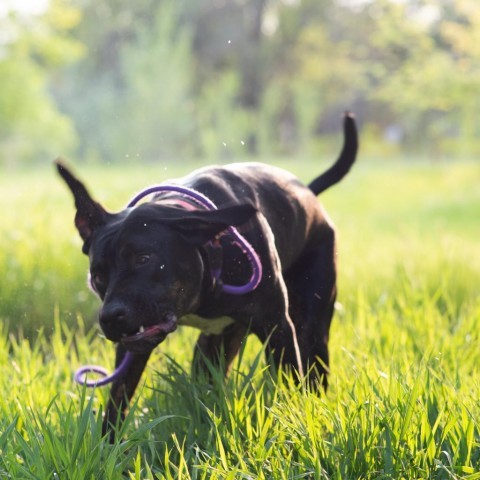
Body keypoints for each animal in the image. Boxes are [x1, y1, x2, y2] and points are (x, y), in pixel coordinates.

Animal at [55, 113, 356, 438]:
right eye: (97, 276)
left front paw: (296, 421)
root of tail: (308, 193)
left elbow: (291, 386)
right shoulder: (133, 347)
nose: (110, 316)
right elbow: (117, 401)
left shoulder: (277, 326)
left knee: (314, 360)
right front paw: (109, 444)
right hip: (213, 345)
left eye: (144, 259)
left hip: (312, 323)